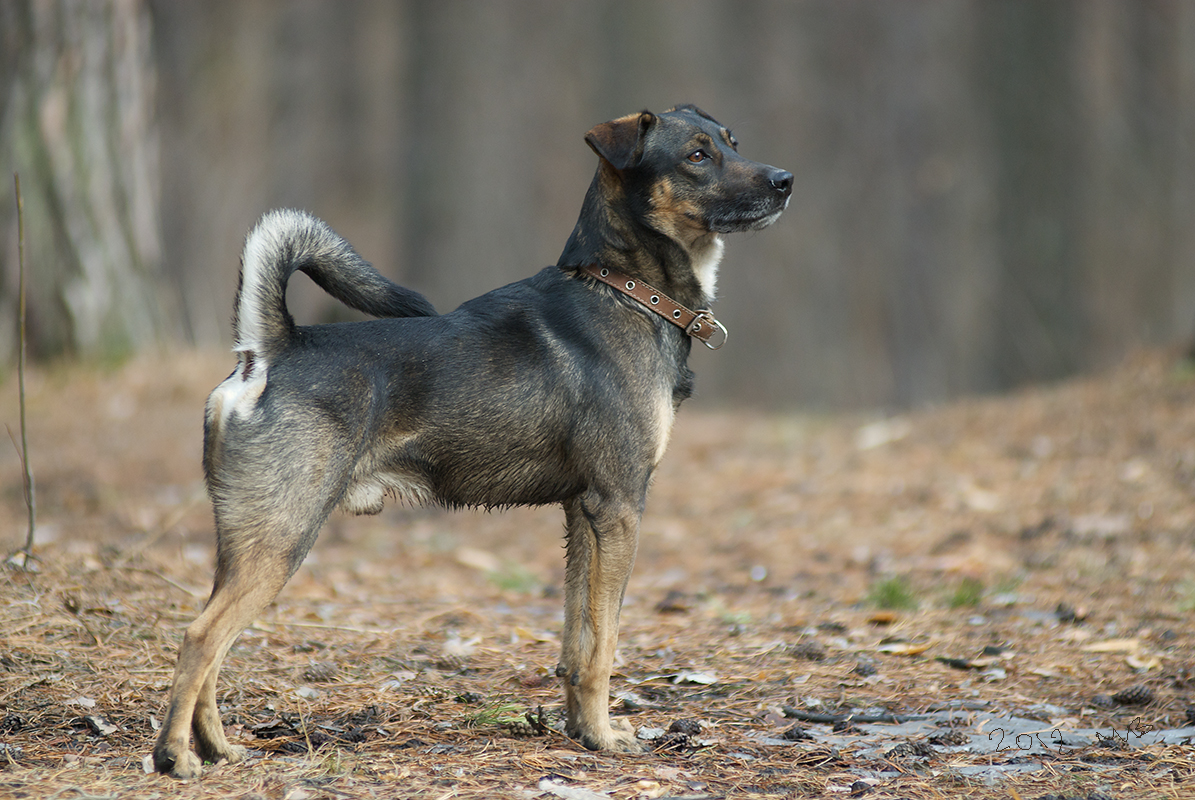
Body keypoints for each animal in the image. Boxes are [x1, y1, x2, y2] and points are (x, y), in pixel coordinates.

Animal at [154, 102, 793, 774]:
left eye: (731, 142)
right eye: (697, 155)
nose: (785, 181)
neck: (624, 292)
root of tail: (268, 351)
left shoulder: (581, 513)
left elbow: (577, 641)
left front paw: (578, 730)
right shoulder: (618, 507)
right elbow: (604, 644)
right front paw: (603, 736)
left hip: (243, 541)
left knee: (214, 643)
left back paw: (218, 746)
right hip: (283, 537)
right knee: (201, 637)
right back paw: (176, 757)